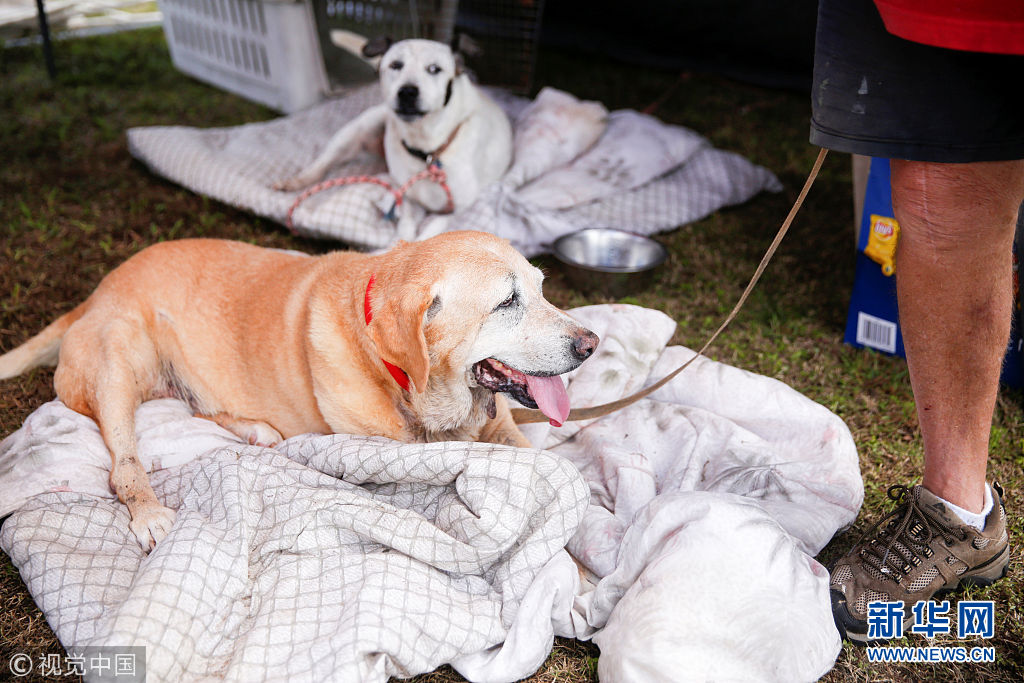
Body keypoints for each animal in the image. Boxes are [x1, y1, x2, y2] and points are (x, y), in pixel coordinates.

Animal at [0, 233, 598, 548]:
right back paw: (147, 510)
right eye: (506, 302)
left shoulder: (503, 432)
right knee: (123, 461)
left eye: (542, 289)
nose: (592, 343)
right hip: (120, 359)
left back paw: (254, 430)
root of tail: (93, 294)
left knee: (199, 407)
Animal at [276, 39, 512, 237]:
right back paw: (295, 181)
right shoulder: (405, 196)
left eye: (434, 69)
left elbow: (430, 232)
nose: (407, 92)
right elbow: (405, 228)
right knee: (323, 164)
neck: (428, 149)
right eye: (396, 65)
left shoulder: (456, 209)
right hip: (358, 129)